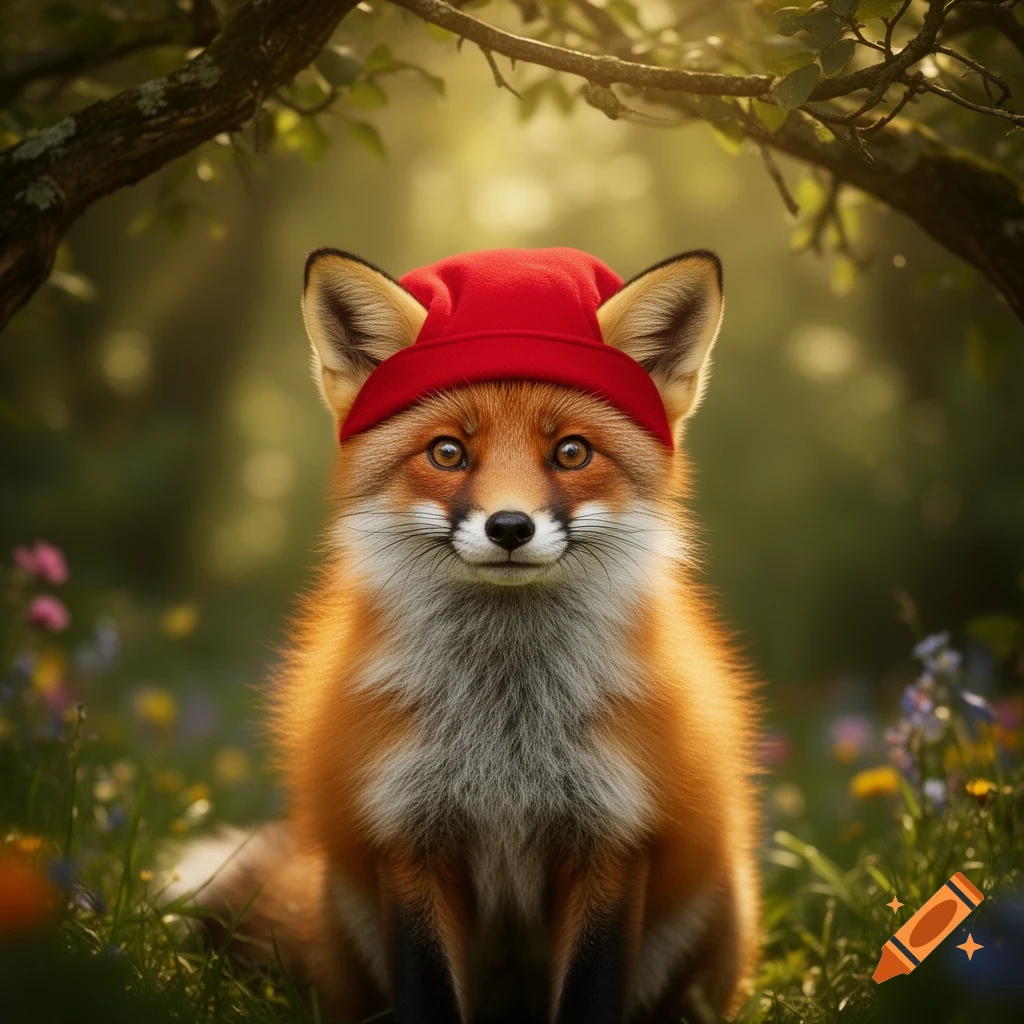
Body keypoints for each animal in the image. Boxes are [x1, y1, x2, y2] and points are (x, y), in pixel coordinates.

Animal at [169, 246, 761, 1024]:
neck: (504, 729)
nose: (509, 527)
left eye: (572, 453)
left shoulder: (613, 838)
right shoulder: (408, 837)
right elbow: (428, 989)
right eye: (448, 452)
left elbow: (590, 991)